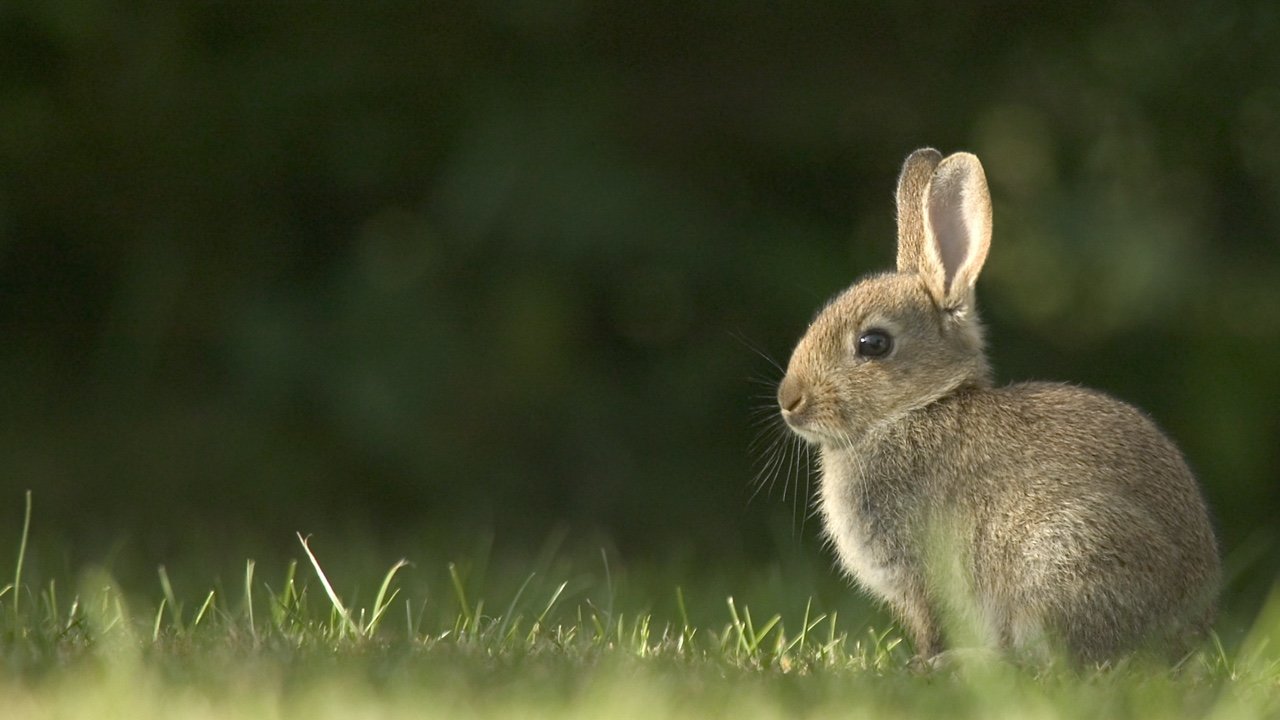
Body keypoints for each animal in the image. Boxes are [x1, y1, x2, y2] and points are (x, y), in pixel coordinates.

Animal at [778, 148, 1218, 666]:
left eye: (873, 343)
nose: (789, 401)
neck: (917, 408)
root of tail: (1186, 636)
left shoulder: (922, 575)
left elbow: (933, 626)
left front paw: (923, 663)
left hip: (1066, 557)